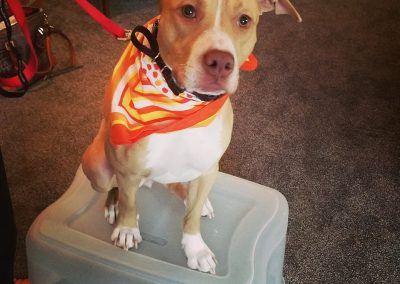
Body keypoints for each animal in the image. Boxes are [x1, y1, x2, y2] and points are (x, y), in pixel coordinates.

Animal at [81, 0, 300, 276]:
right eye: (188, 10)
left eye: (244, 20)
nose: (220, 62)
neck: (180, 101)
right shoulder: (126, 168)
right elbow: (130, 202)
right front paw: (127, 228)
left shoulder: (208, 168)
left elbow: (192, 216)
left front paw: (196, 249)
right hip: (98, 166)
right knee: (115, 188)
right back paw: (114, 206)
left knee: (176, 186)